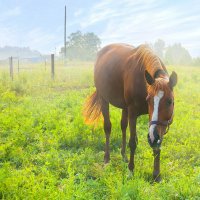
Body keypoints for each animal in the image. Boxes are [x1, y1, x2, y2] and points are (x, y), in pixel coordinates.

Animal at [83, 43, 177, 182]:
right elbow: (133, 142)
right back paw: (107, 159)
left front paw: (156, 175)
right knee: (108, 127)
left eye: (170, 101)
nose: (153, 137)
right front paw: (131, 171)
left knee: (123, 126)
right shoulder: (133, 113)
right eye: (148, 100)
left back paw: (123, 155)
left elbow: (157, 145)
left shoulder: (157, 123)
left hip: (124, 107)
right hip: (104, 99)